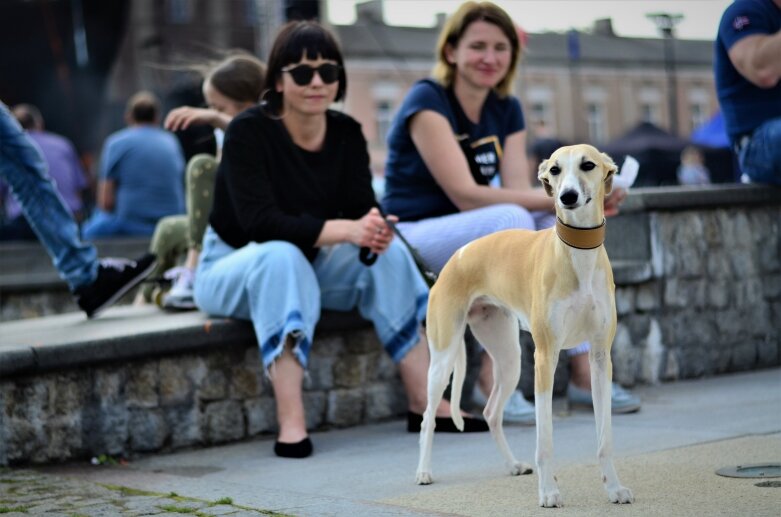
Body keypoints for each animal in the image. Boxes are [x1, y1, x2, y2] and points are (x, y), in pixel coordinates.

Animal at [414, 143, 632, 506]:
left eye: (587, 165)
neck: (577, 252)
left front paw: (614, 488)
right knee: (429, 418)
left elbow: (605, 437)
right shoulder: (545, 358)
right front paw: (549, 492)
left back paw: (513, 464)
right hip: (442, 360)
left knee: (491, 412)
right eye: (555, 170)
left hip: (509, 358)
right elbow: (544, 440)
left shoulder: (601, 357)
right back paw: (423, 472)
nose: (567, 197)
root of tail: (453, 260)